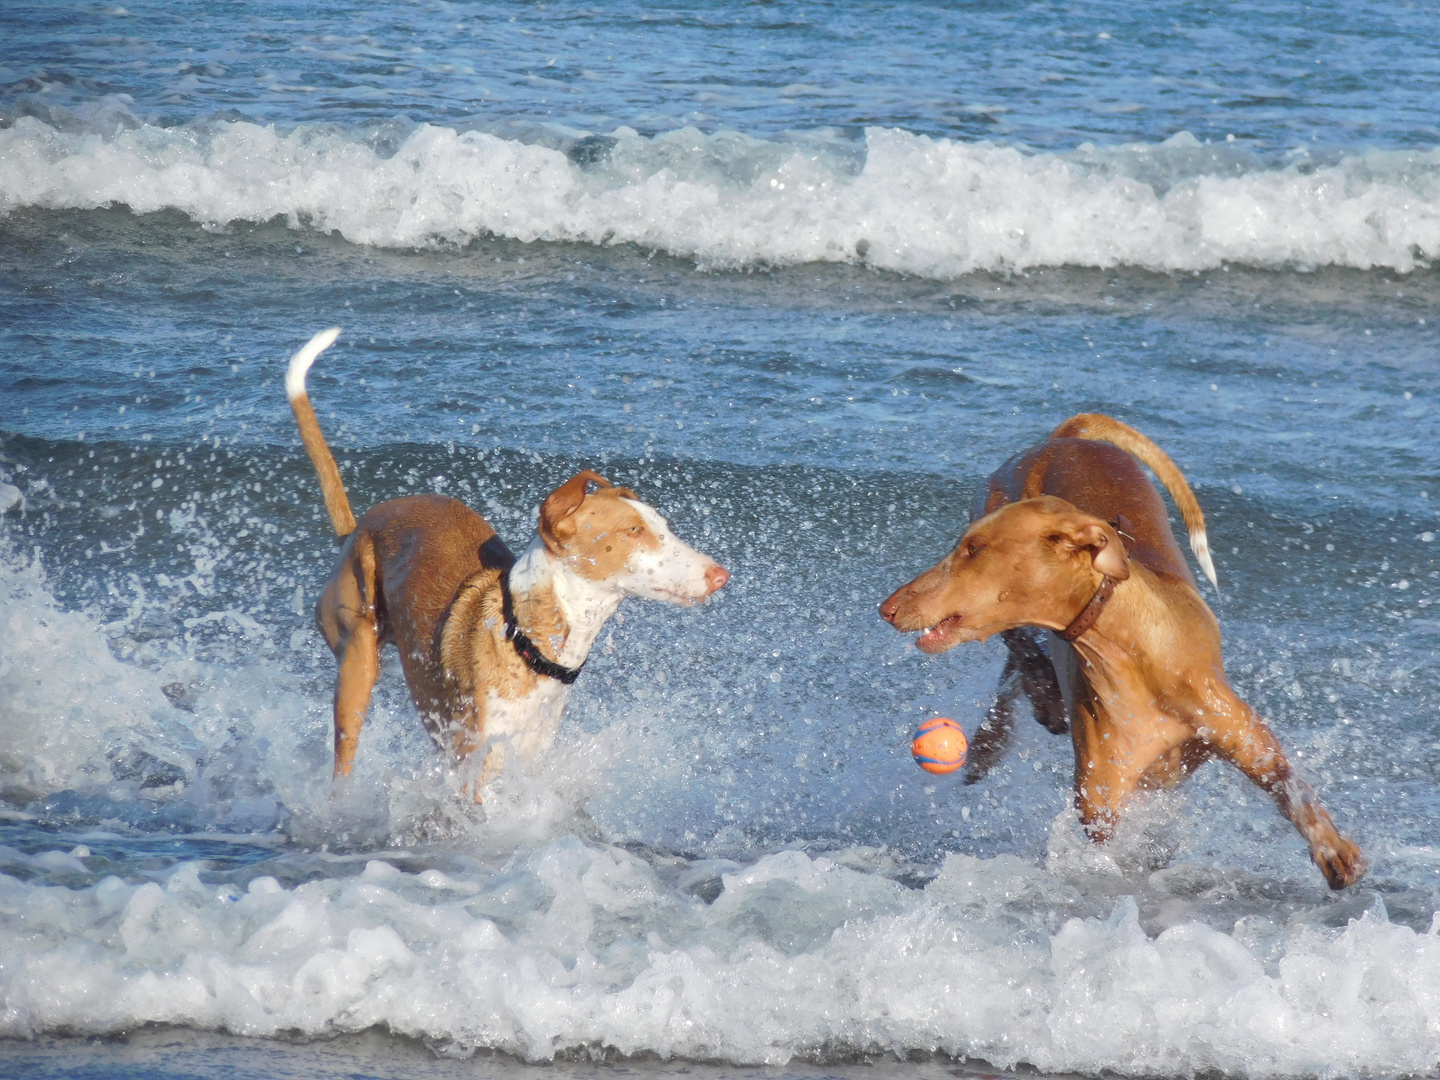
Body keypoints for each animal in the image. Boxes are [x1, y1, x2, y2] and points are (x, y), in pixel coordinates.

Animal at [283, 325, 731, 789]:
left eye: (662, 526)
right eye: (633, 531)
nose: (721, 574)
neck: (527, 639)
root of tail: (358, 528)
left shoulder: (527, 756)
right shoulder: (475, 765)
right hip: (357, 662)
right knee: (343, 761)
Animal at [875, 411, 1359, 887]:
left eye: (974, 548)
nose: (887, 608)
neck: (1133, 658)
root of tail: (1061, 439)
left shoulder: (1245, 738)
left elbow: (1289, 784)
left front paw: (1332, 849)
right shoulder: (1101, 808)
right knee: (1017, 650)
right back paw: (1013, 720)